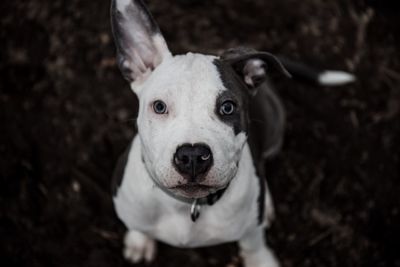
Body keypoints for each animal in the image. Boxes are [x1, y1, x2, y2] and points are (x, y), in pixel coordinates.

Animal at [108, 0, 354, 266]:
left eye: (227, 107)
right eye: (159, 106)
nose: (192, 156)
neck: (189, 207)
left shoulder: (250, 230)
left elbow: (253, 243)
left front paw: (260, 259)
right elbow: (138, 225)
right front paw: (139, 241)